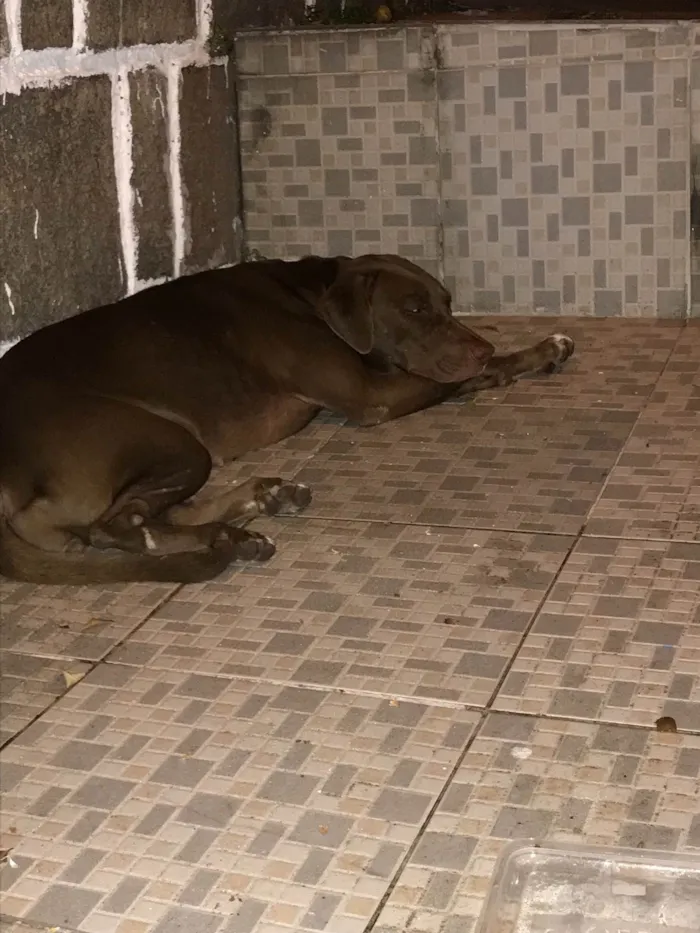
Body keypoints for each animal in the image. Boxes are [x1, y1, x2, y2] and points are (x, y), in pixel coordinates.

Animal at [0, 253, 576, 584]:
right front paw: (535, 351)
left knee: (157, 514)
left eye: (448, 302)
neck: (306, 293)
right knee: (113, 526)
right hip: (166, 441)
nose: (482, 347)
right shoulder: (373, 394)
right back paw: (230, 535)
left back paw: (262, 501)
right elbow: (454, 379)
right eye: (413, 309)